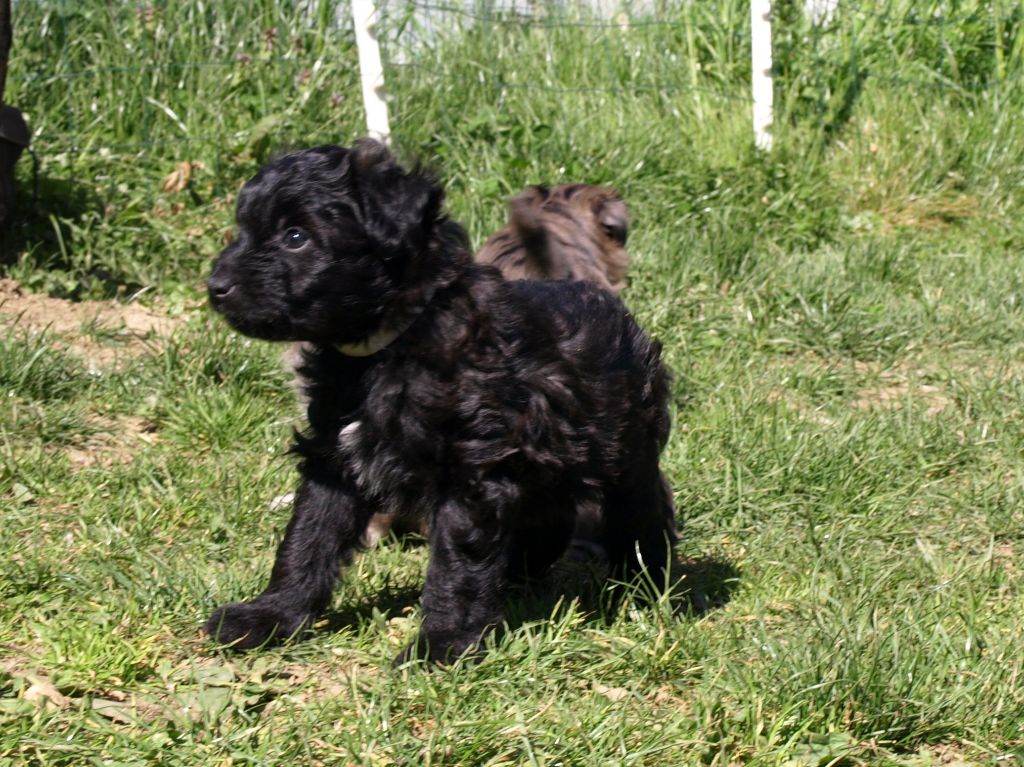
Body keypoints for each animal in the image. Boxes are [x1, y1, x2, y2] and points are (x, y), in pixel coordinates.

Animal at [203, 140, 675, 659]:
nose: (216, 288)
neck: (389, 345)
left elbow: (457, 566)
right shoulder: (335, 457)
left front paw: (442, 646)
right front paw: (270, 617)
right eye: (244, 229)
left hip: (624, 455)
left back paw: (652, 585)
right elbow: (307, 540)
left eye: (295, 236)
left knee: (643, 515)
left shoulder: (473, 470)